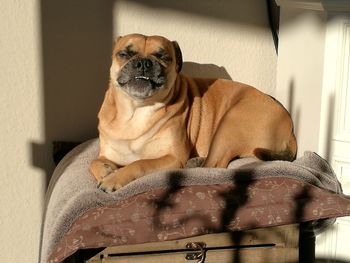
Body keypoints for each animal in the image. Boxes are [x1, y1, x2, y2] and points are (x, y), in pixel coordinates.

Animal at [89, 34, 296, 193]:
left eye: (163, 57)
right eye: (124, 54)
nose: (143, 63)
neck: (137, 108)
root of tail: (290, 127)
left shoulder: (173, 158)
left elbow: (139, 163)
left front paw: (114, 178)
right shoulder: (107, 153)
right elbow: (93, 162)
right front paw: (106, 171)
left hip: (231, 122)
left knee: (216, 165)